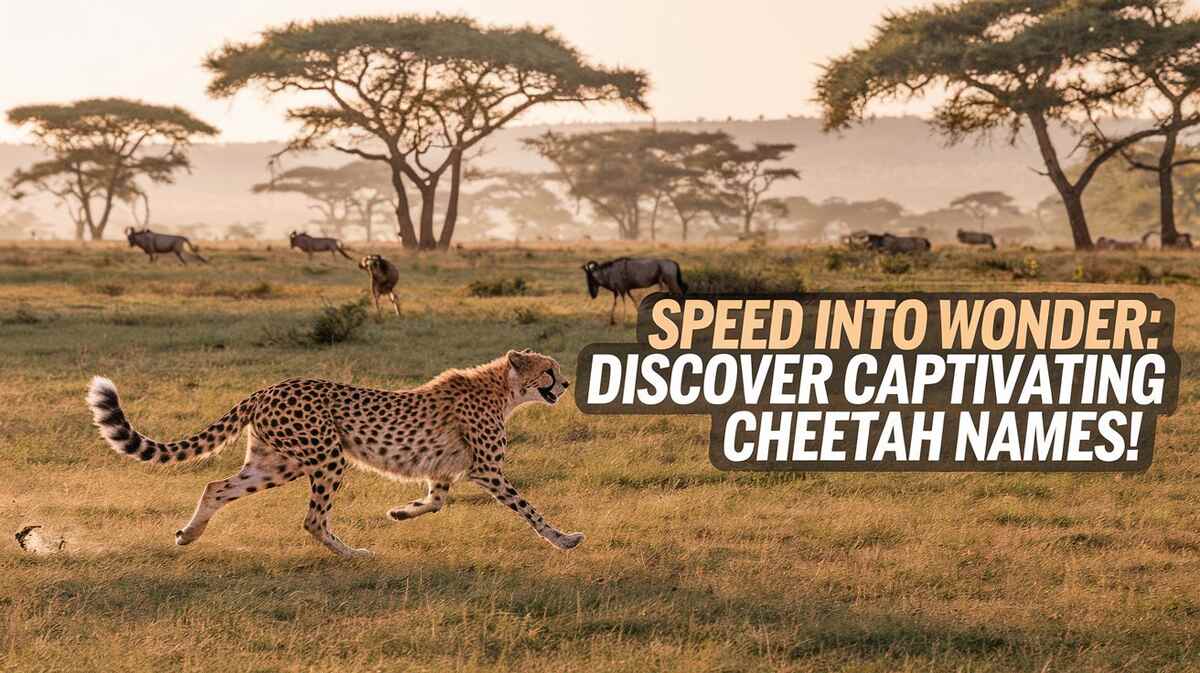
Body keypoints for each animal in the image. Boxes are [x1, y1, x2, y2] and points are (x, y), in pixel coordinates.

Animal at [86, 349, 577, 558]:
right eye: (549, 371)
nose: (569, 383)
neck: (503, 390)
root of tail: (268, 388)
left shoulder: (443, 472)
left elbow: (435, 502)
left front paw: (400, 512)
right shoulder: (488, 470)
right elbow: (529, 509)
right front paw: (564, 539)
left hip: (277, 462)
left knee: (216, 486)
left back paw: (189, 535)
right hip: (327, 457)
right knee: (312, 519)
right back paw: (353, 553)